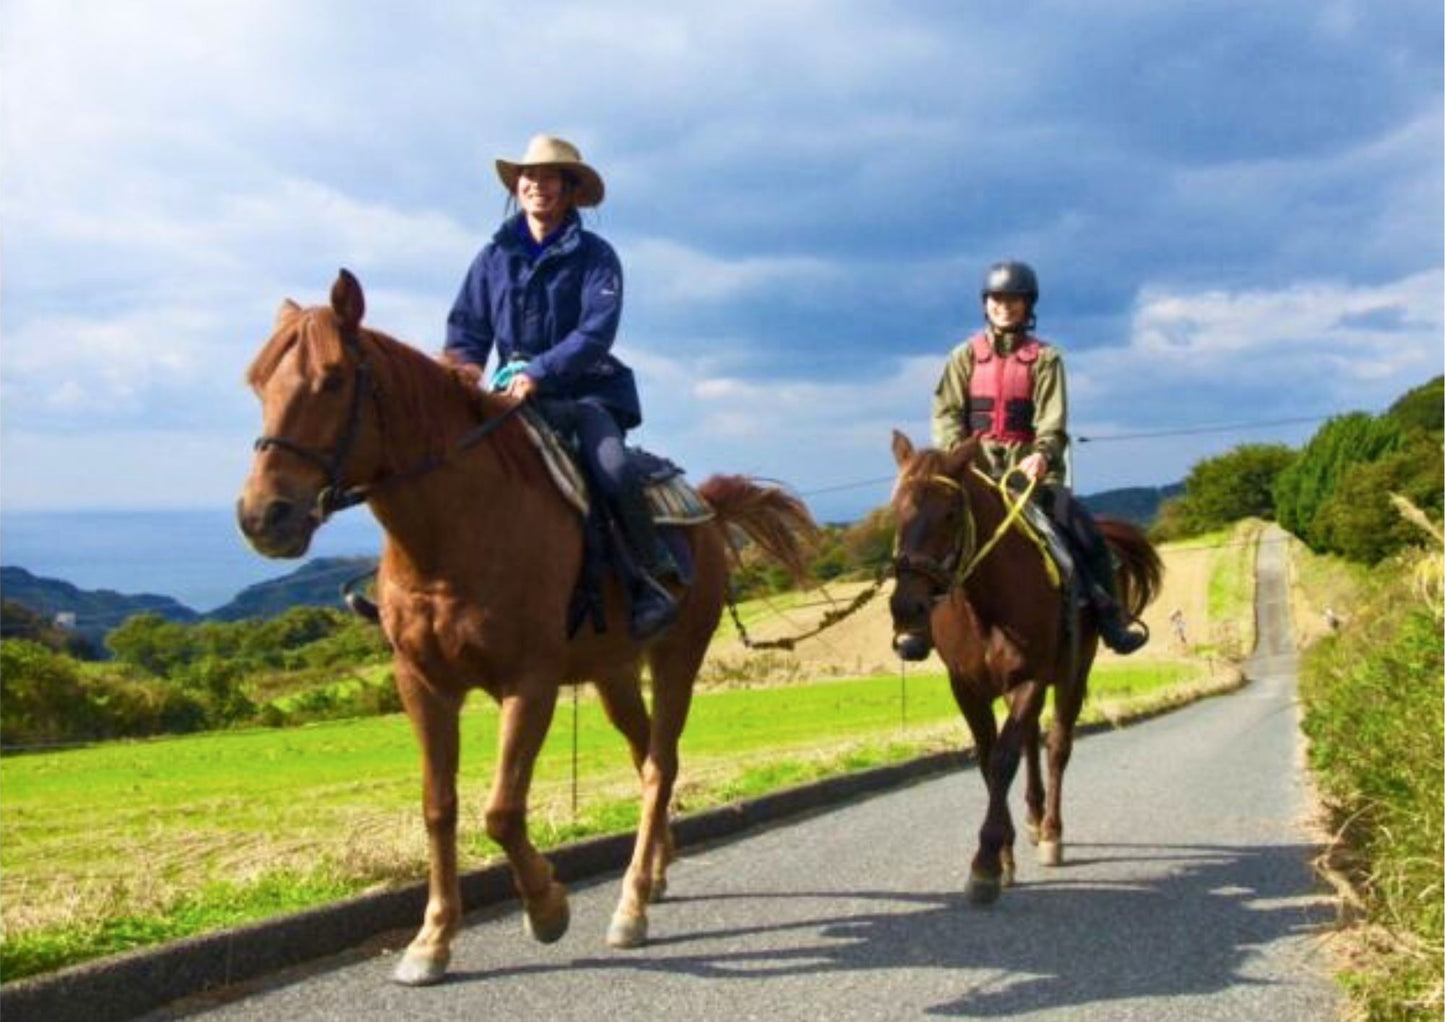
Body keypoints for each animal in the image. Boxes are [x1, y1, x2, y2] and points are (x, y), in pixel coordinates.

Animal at [236, 270, 814, 982]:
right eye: (259, 384)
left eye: (334, 379)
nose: (263, 516)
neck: (453, 534)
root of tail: (704, 503)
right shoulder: (422, 684)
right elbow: (439, 808)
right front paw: (432, 938)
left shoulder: (530, 683)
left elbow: (501, 811)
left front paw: (546, 907)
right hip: (613, 673)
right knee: (644, 753)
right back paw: (655, 872)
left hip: (678, 655)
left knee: (660, 764)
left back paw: (631, 904)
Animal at [878, 430, 1161, 902]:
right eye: (895, 512)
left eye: (951, 514)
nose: (907, 608)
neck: (986, 605)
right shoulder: (967, 688)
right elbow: (988, 759)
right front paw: (1005, 855)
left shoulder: (1031, 678)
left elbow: (1004, 760)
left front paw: (986, 863)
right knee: (1031, 739)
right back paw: (1031, 819)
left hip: (1071, 675)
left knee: (1057, 746)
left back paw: (1050, 832)